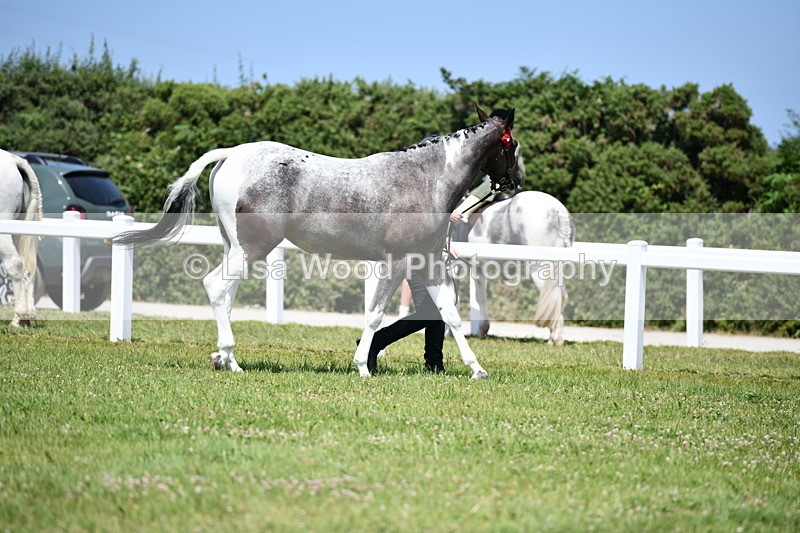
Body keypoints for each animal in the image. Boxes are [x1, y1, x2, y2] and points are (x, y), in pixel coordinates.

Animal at [112, 105, 519, 378]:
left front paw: (477, 369)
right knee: (214, 287)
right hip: (252, 249)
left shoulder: (429, 261)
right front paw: (363, 367)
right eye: (511, 146)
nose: (515, 183)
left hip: (235, 248)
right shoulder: (397, 261)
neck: (426, 180)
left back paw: (224, 359)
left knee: (225, 297)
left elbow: (449, 314)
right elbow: (375, 314)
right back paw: (231, 360)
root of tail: (231, 154)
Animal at [466, 191, 575, 345]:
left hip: (539, 269)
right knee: (559, 296)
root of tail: (558, 211)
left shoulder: (476, 266)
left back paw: (556, 338)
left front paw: (482, 330)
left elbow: (480, 297)